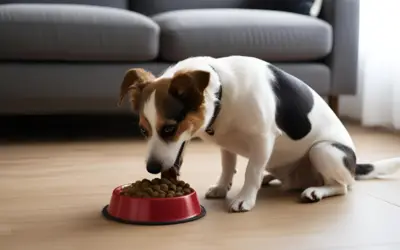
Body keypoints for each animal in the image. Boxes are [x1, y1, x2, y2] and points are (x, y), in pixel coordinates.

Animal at [117, 55, 400, 212]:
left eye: (169, 128)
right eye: (143, 130)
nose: (152, 169)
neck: (223, 93)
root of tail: (354, 164)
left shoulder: (263, 138)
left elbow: (250, 171)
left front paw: (244, 199)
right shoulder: (227, 144)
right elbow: (227, 166)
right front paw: (222, 187)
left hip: (324, 151)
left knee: (343, 186)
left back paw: (316, 191)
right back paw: (272, 179)